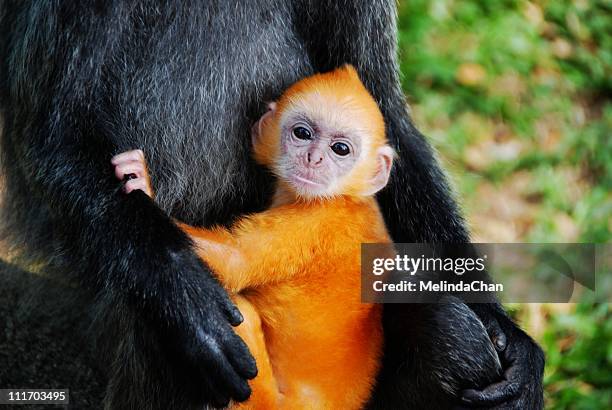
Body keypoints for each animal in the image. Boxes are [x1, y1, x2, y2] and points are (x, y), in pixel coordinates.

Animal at [112, 65, 394, 408]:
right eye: (303, 134)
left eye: (341, 149)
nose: (313, 158)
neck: (346, 197)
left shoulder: (314, 222)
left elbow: (237, 261)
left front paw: (143, 182)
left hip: (262, 397)